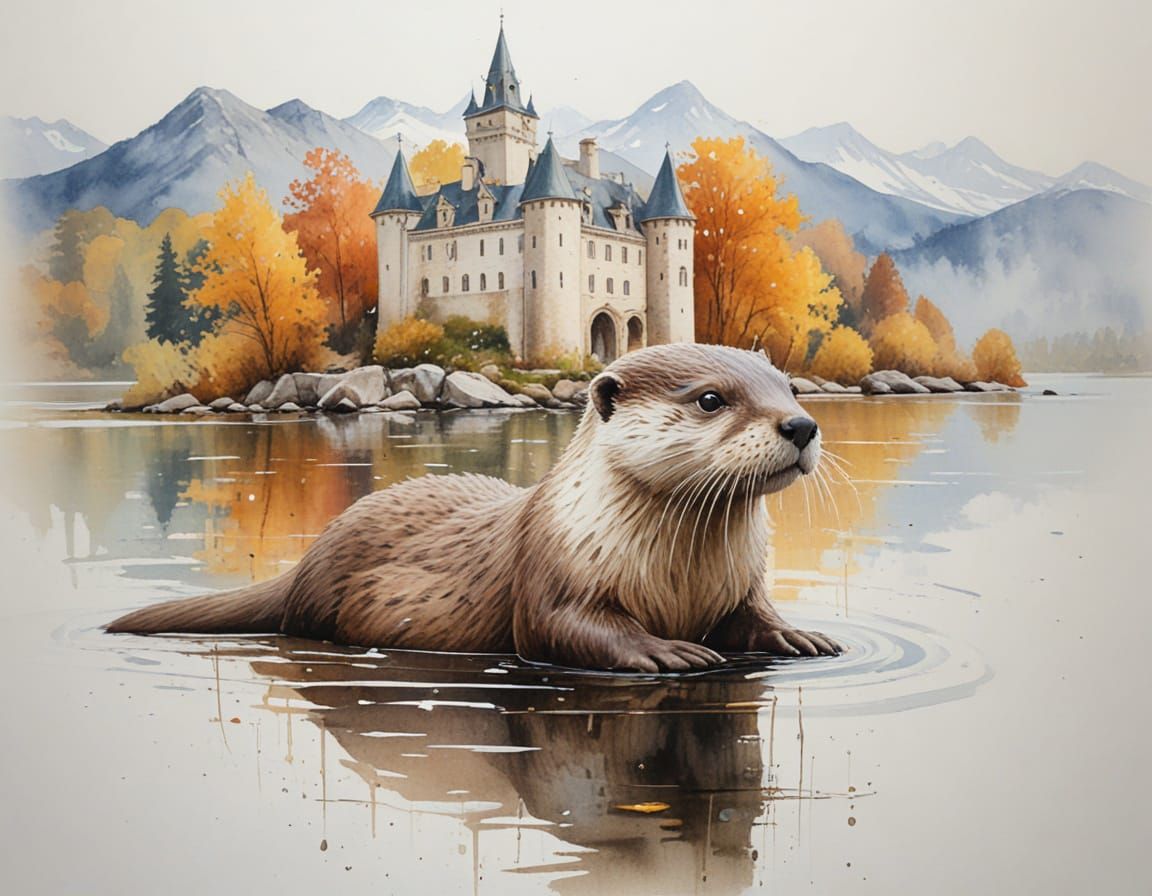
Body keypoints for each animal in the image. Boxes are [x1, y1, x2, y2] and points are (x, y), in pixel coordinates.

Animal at [108, 343, 841, 671]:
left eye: (787, 388)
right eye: (712, 398)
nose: (802, 425)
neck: (681, 578)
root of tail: (307, 563)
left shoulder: (740, 581)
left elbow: (753, 615)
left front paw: (797, 634)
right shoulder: (552, 570)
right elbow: (559, 628)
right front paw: (666, 650)